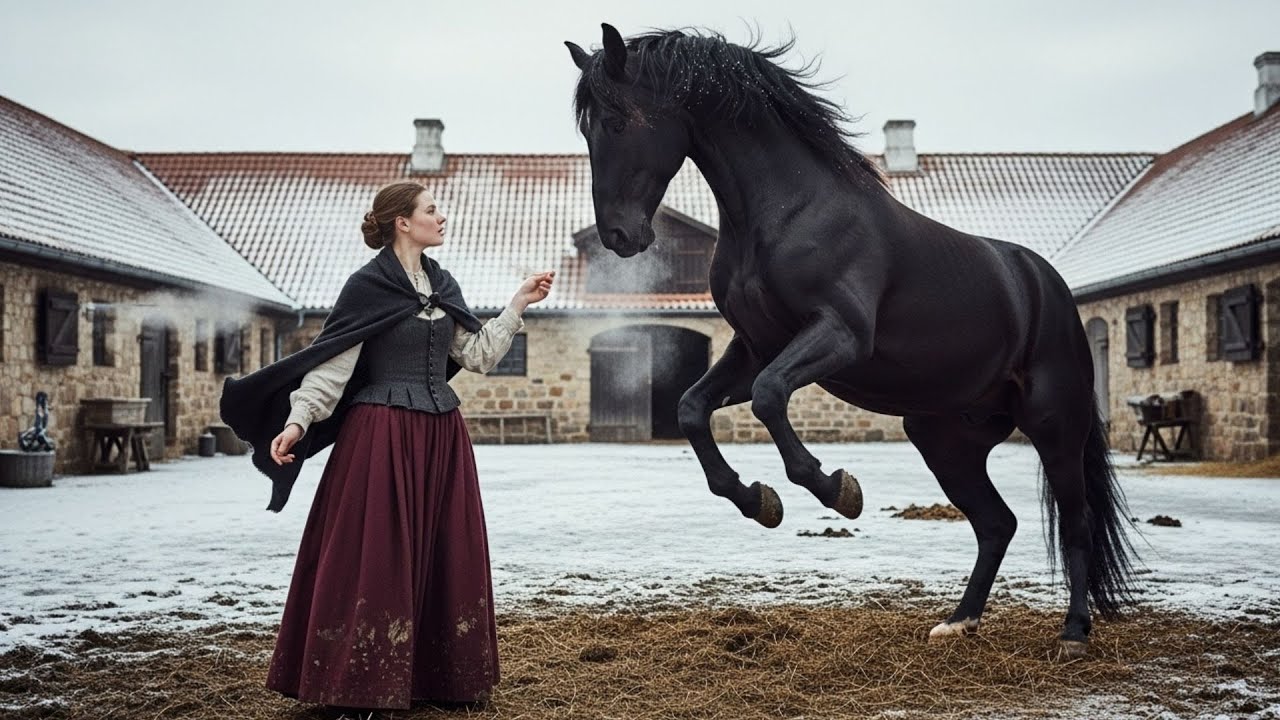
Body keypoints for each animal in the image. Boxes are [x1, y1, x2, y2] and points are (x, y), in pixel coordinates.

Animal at [564, 24, 1138, 660]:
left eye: (617, 121)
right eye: (587, 129)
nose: (620, 236)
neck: (788, 211)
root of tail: (1049, 287)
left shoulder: (838, 335)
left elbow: (769, 397)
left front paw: (837, 489)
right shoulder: (754, 348)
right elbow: (692, 408)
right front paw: (758, 500)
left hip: (1054, 424)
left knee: (1075, 524)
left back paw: (1074, 633)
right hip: (946, 439)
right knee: (997, 523)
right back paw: (958, 621)